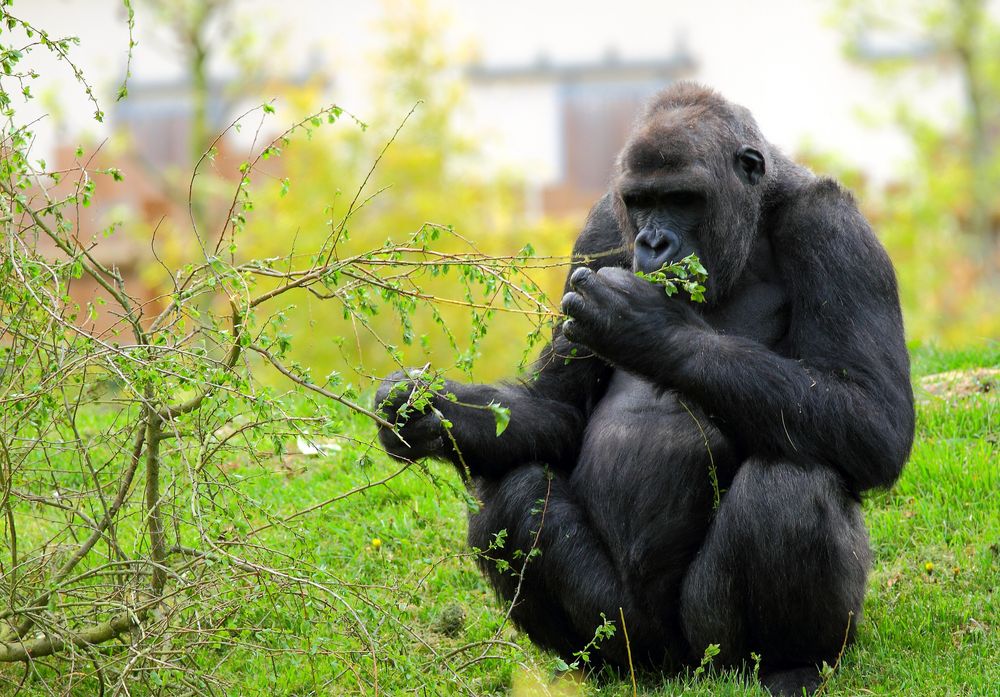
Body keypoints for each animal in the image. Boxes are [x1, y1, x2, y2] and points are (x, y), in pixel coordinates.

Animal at [374, 83, 916, 696]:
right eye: (639, 202)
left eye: (682, 198)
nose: (654, 242)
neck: (753, 217)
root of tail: (677, 671)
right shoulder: (600, 230)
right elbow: (559, 410)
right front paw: (425, 411)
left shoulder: (833, 228)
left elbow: (872, 416)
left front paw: (647, 327)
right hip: (630, 634)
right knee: (516, 495)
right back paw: (599, 668)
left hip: (713, 651)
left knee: (791, 485)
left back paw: (789, 664)